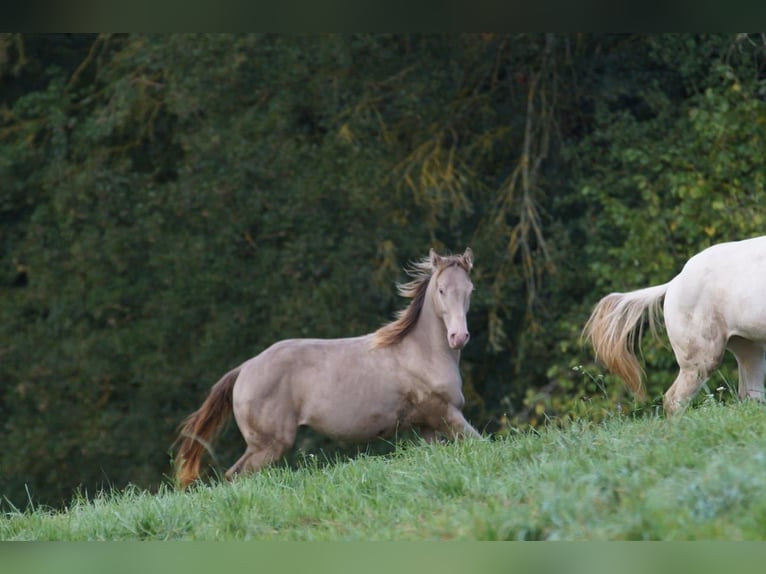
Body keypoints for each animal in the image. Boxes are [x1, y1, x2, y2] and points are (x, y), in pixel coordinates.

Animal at [177, 249, 484, 490]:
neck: (421, 352)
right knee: (235, 475)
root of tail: (244, 368)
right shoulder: (446, 414)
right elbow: (480, 443)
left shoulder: (428, 425)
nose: (458, 337)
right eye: (441, 290)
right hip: (268, 444)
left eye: (470, 290)